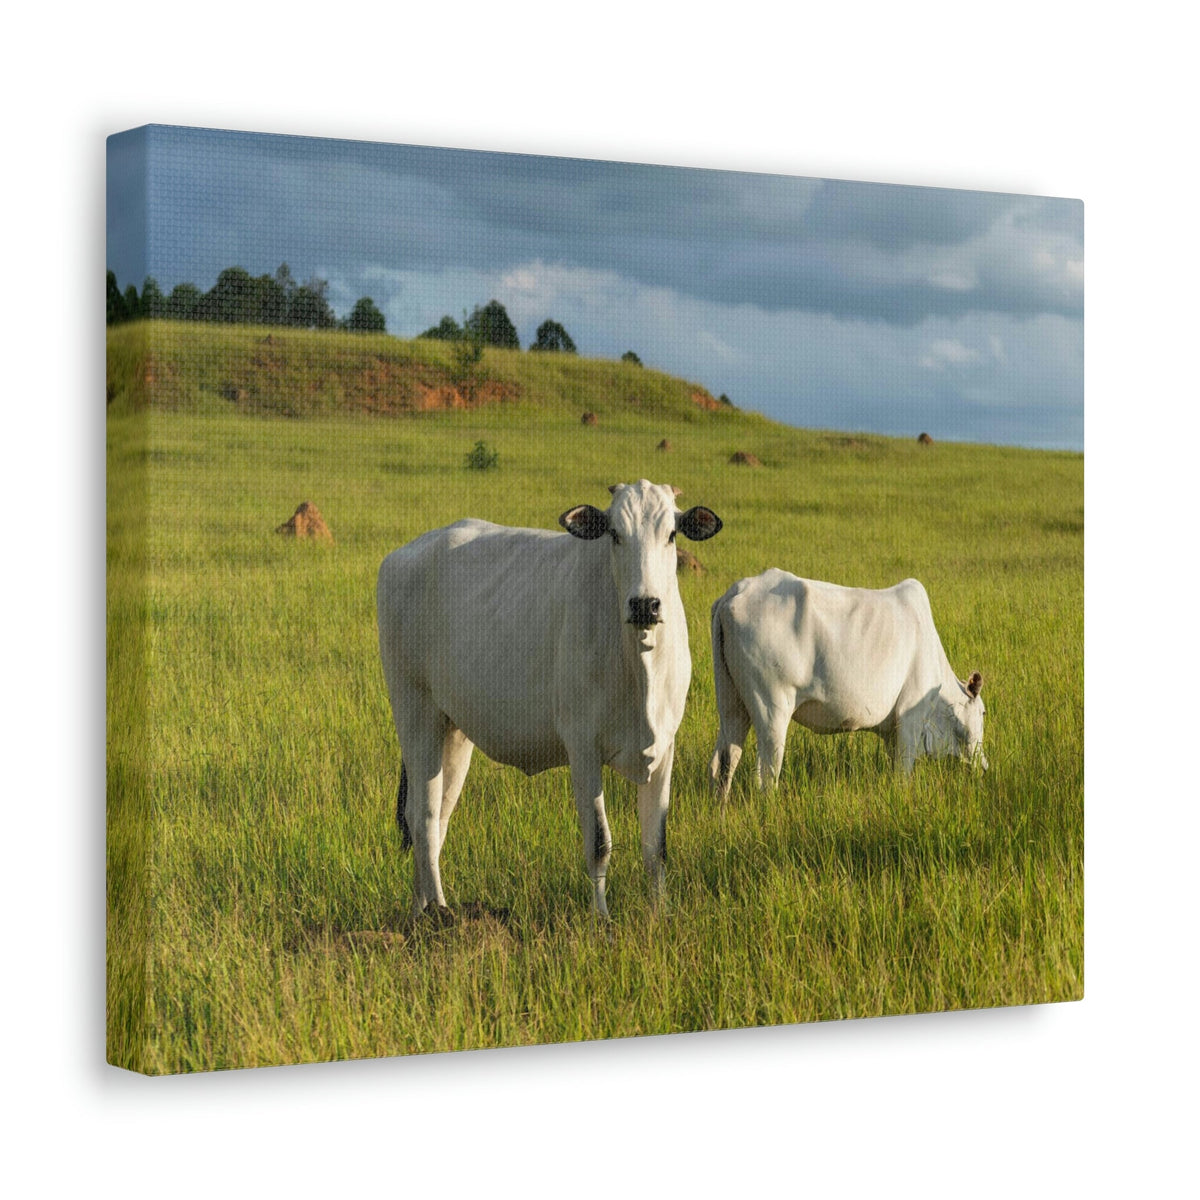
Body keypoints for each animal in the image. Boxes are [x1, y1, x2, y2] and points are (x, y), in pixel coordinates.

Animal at [377, 480, 723, 920]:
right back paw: (439, 912)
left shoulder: (664, 747)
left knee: (437, 816)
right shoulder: (583, 748)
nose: (645, 604)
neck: (639, 662)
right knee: (421, 816)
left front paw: (660, 915)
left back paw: (421, 912)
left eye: (672, 534)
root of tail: (405, 554)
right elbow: (599, 842)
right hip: (414, 712)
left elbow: (655, 846)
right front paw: (601, 920)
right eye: (615, 533)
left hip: (452, 730)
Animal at [709, 569, 986, 797]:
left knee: (723, 762)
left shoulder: (892, 732)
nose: (984, 767)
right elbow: (903, 772)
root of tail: (736, 592)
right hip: (771, 708)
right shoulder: (910, 717)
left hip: (731, 703)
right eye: (983, 712)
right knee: (766, 775)